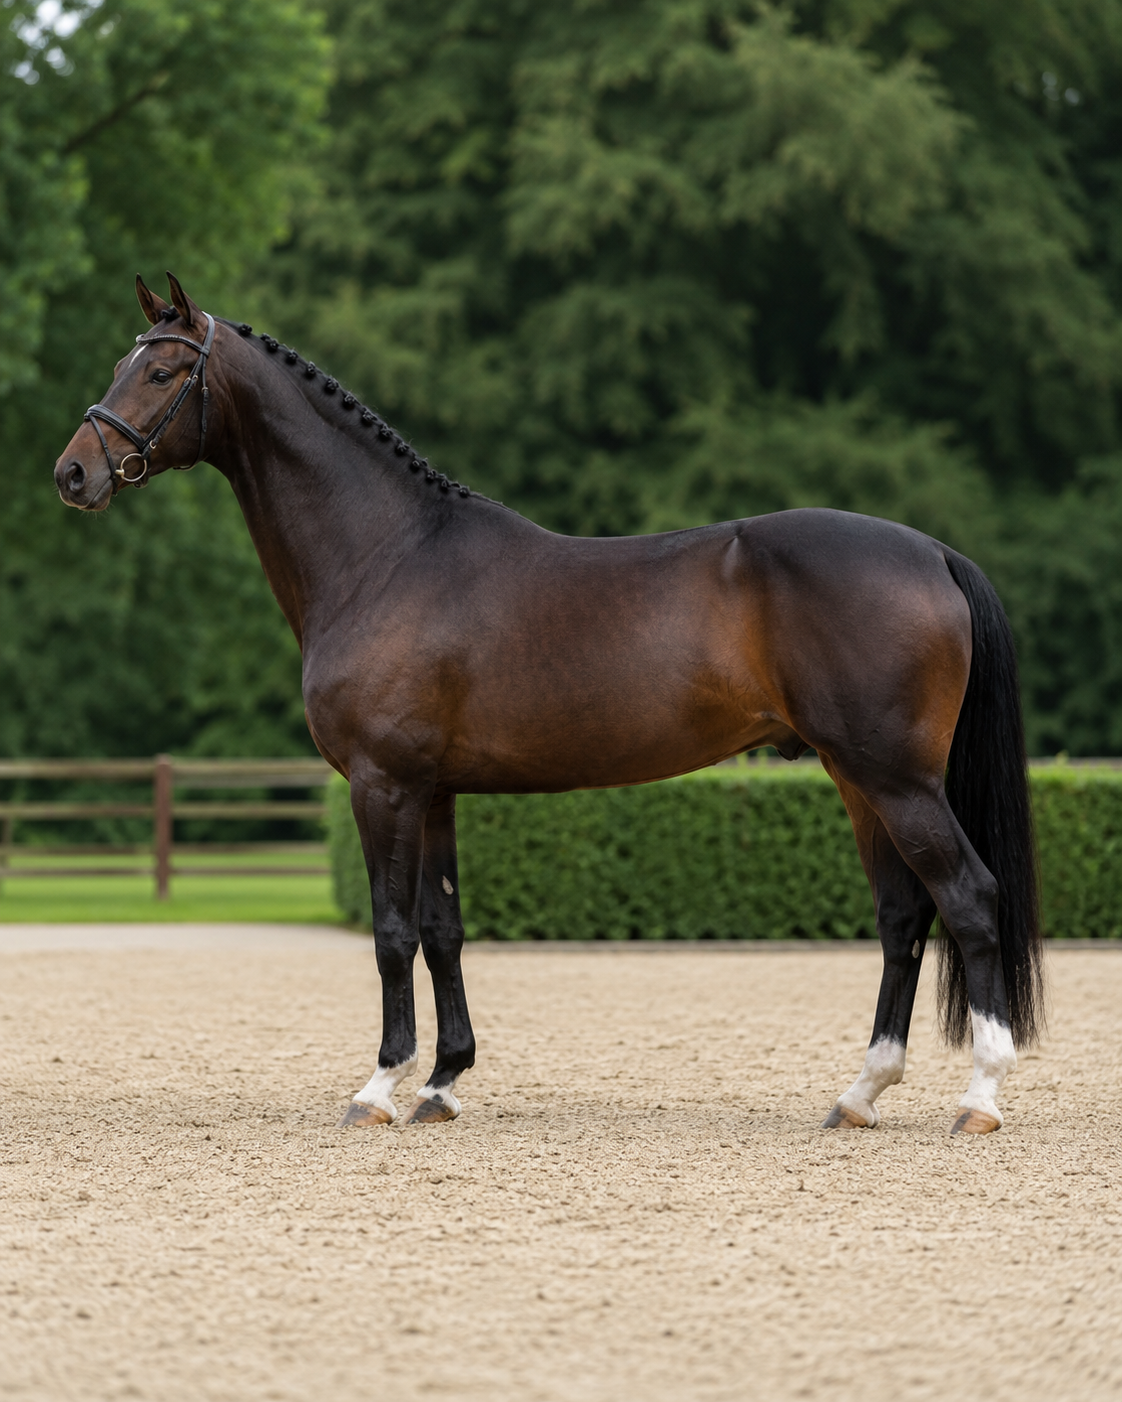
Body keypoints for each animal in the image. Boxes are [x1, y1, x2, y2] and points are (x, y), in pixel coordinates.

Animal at [55, 273, 1043, 1135]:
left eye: (162, 372)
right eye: (121, 365)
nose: (73, 473)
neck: (388, 555)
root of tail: (933, 553)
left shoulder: (383, 785)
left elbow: (389, 932)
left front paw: (380, 1087)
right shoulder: (434, 791)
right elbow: (443, 929)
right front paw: (443, 1083)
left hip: (896, 779)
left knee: (968, 897)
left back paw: (981, 1096)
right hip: (857, 778)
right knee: (903, 915)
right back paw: (861, 1094)